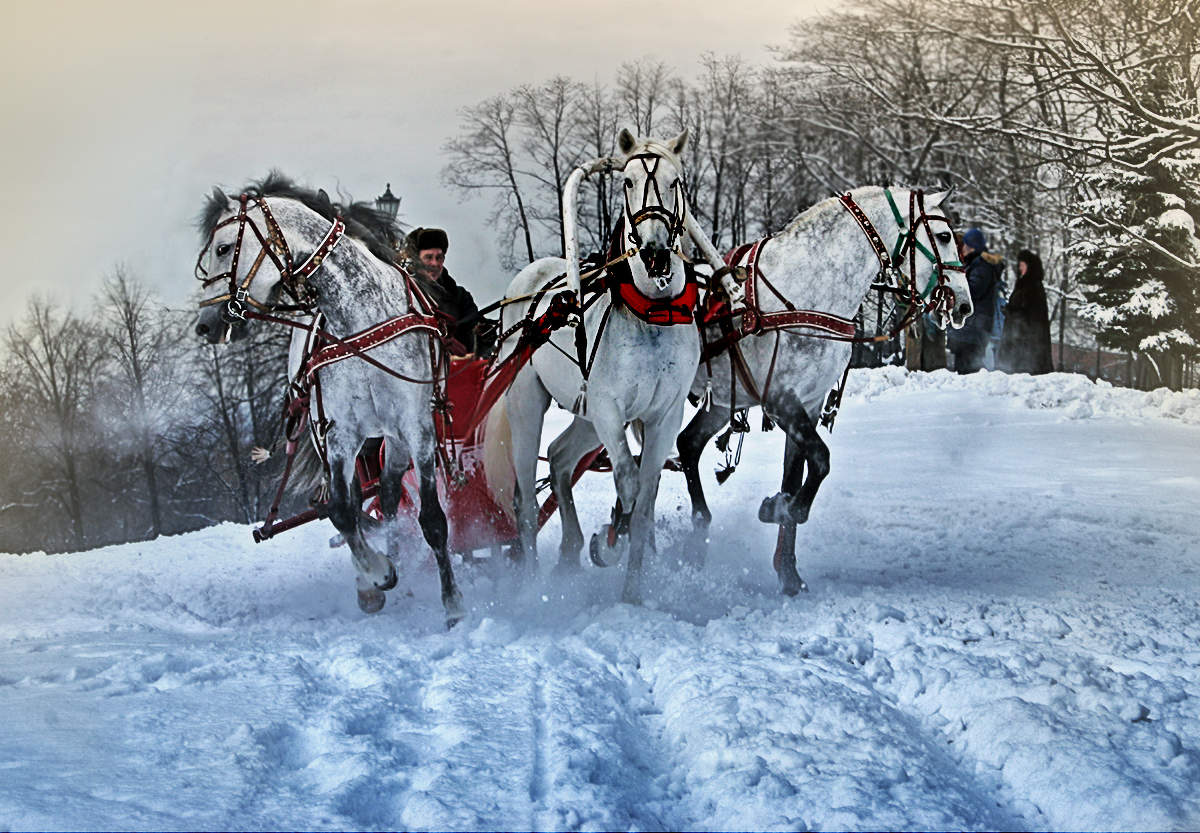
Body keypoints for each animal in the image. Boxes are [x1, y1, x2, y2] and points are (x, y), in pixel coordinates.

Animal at [192, 172, 463, 624]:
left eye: (223, 248)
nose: (206, 324)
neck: (359, 320)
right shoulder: (339, 434)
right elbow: (340, 510)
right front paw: (377, 574)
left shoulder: (417, 426)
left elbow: (432, 517)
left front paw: (453, 602)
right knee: (361, 501)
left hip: (397, 440)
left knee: (389, 495)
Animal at [480, 127, 700, 602]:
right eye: (627, 182)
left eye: (675, 181)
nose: (655, 254)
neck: (651, 312)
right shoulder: (609, 408)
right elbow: (629, 482)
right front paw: (615, 539)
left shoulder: (664, 415)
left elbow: (646, 499)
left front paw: (633, 590)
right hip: (529, 404)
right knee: (525, 501)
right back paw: (531, 582)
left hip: (585, 418)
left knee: (560, 458)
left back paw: (570, 549)